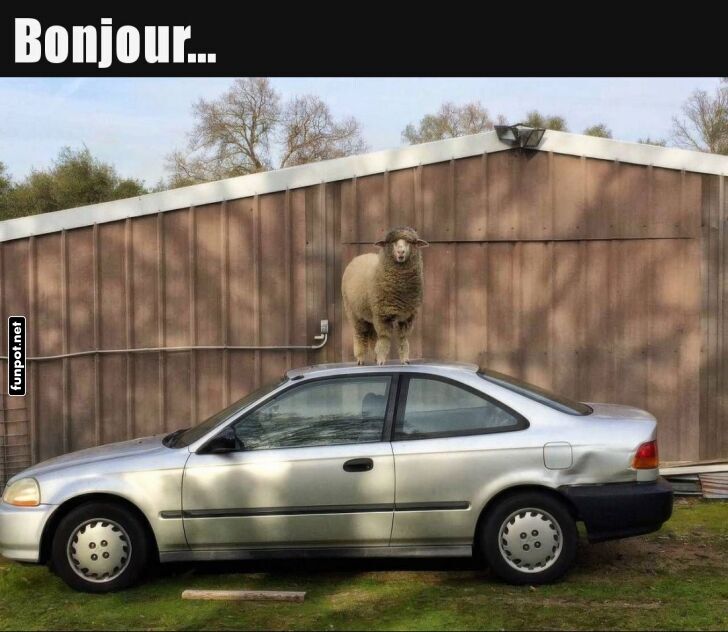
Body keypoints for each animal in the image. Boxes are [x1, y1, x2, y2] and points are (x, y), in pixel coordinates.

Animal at [342, 226, 429, 366]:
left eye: (410, 242)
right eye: (392, 242)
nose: (401, 252)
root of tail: (360, 256)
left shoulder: (408, 316)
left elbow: (403, 338)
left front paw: (405, 360)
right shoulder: (383, 314)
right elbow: (384, 338)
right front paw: (382, 360)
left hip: (371, 314)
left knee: (372, 336)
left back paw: (374, 356)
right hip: (354, 312)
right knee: (360, 334)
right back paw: (360, 358)